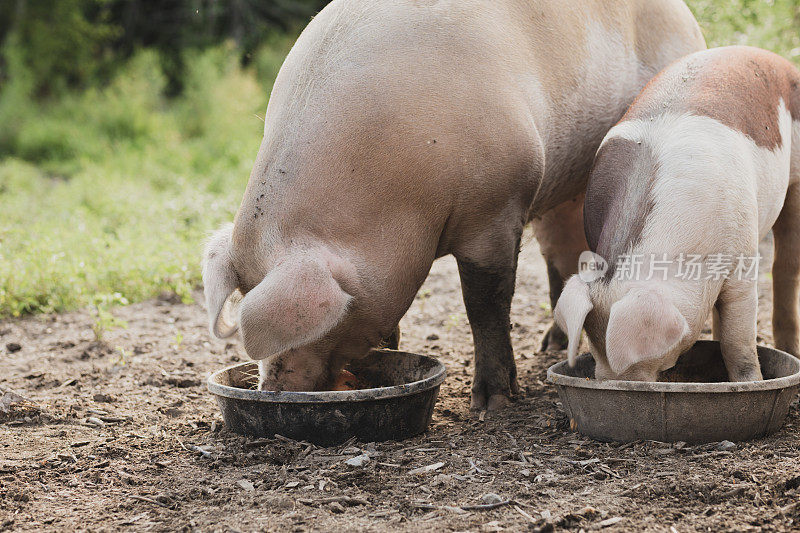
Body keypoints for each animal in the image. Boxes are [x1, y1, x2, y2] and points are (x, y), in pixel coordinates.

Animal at [203, 0, 704, 410]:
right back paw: (551, 345)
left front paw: (492, 405)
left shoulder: (498, 204)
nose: (274, 389)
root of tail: (683, 13)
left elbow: (485, 303)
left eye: (327, 318)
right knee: (560, 255)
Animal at [552, 44, 800, 378]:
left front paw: (749, 380)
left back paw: (791, 350)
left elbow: (738, 341)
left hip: (795, 178)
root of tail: (774, 58)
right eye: (594, 348)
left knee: (786, 264)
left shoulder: (742, 260)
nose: (611, 382)